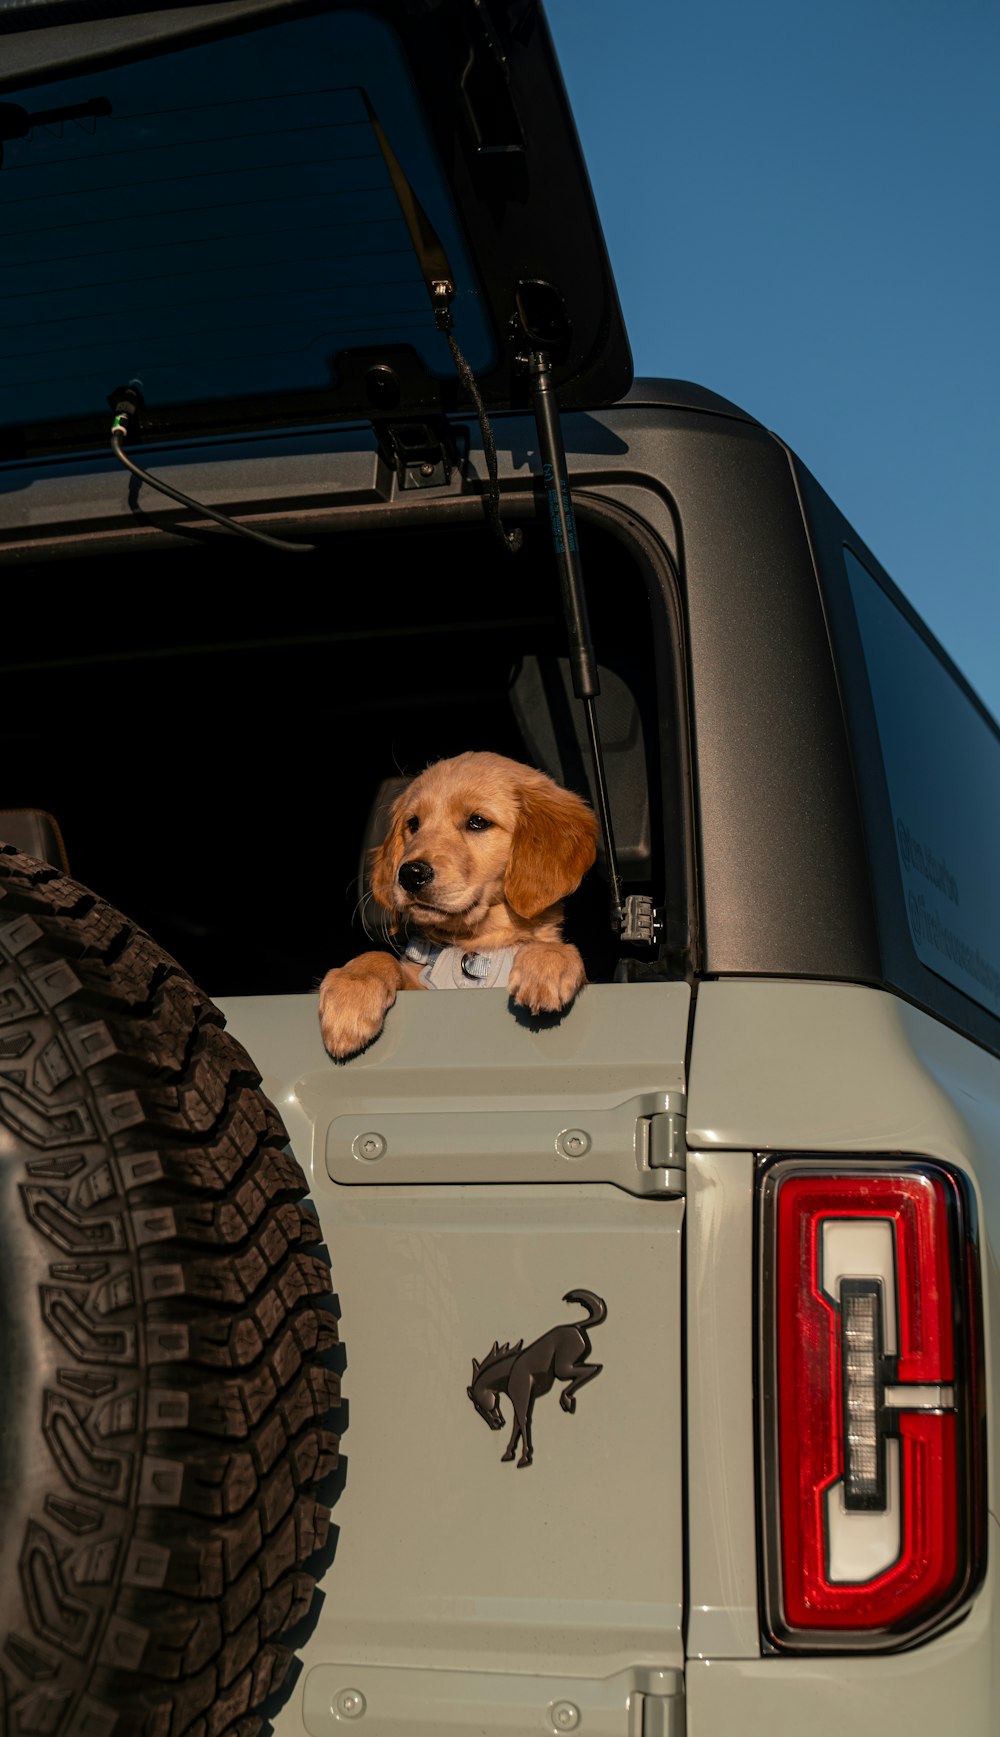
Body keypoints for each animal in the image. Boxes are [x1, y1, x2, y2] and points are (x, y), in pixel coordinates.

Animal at [317, 753, 593, 1063]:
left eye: (478, 822)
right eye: (413, 824)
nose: (410, 874)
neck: (473, 952)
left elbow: (557, 951)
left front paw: (546, 961)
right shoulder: (422, 985)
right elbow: (379, 957)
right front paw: (350, 989)